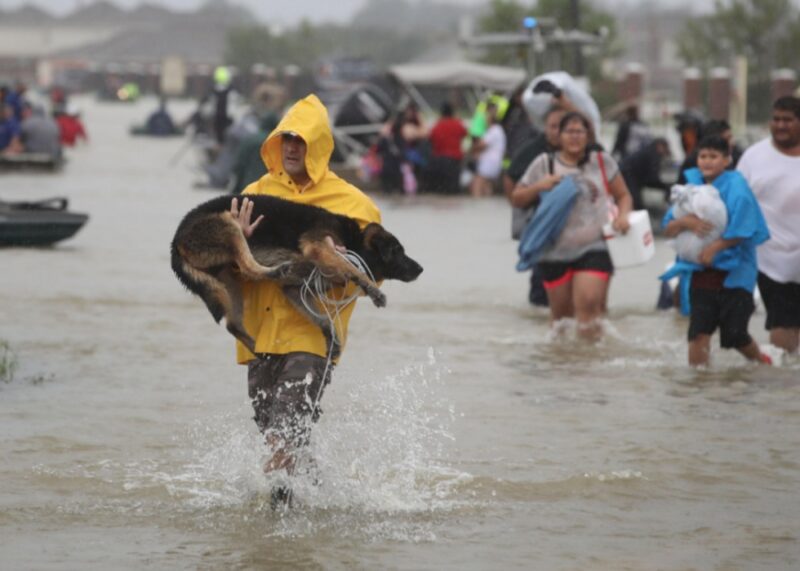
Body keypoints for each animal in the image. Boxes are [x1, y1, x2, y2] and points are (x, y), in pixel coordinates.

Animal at [170, 197, 424, 358]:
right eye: (398, 251)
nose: (421, 269)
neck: (355, 241)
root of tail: (176, 240)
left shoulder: (295, 290)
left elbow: (322, 319)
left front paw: (332, 339)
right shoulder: (320, 247)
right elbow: (354, 269)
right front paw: (374, 291)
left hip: (228, 280)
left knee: (233, 324)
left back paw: (259, 350)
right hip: (230, 226)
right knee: (248, 266)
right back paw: (274, 271)